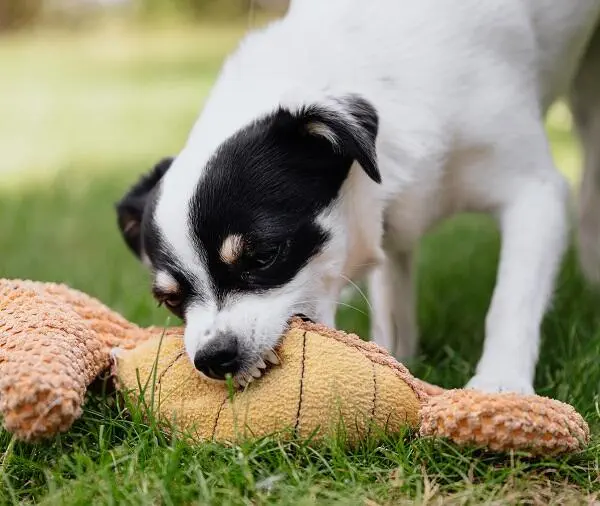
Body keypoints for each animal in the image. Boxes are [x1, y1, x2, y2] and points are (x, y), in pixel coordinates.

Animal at [116, 0, 600, 394]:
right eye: (171, 301)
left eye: (265, 255)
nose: (213, 358)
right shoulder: (390, 224)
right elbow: (392, 300)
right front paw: (397, 361)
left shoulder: (534, 193)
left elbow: (511, 300)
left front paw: (501, 383)